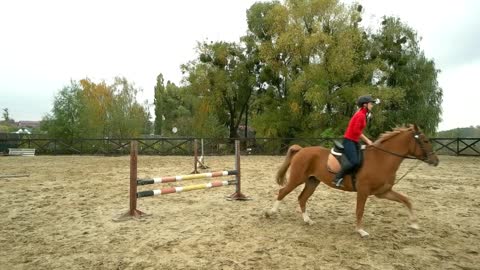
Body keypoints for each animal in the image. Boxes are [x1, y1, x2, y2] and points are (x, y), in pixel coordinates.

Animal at [264, 123, 440, 237]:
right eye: (425, 141)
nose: (436, 161)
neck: (382, 158)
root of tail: (301, 150)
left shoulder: (383, 192)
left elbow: (406, 200)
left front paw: (414, 224)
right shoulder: (363, 191)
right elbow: (360, 210)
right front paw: (360, 231)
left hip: (312, 181)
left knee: (302, 198)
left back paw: (308, 220)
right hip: (297, 178)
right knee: (282, 192)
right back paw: (270, 212)